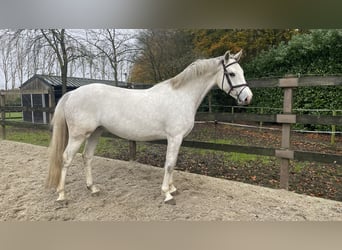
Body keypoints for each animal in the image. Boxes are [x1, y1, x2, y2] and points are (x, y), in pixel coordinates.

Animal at [46, 49, 252, 204]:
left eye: (242, 72)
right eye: (232, 74)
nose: (247, 97)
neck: (182, 95)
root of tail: (72, 94)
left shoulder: (177, 139)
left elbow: (173, 163)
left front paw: (172, 188)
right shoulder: (174, 137)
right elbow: (169, 164)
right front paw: (167, 194)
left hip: (95, 133)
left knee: (87, 157)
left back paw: (93, 188)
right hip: (78, 135)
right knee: (66, 158)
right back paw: (62, 195)